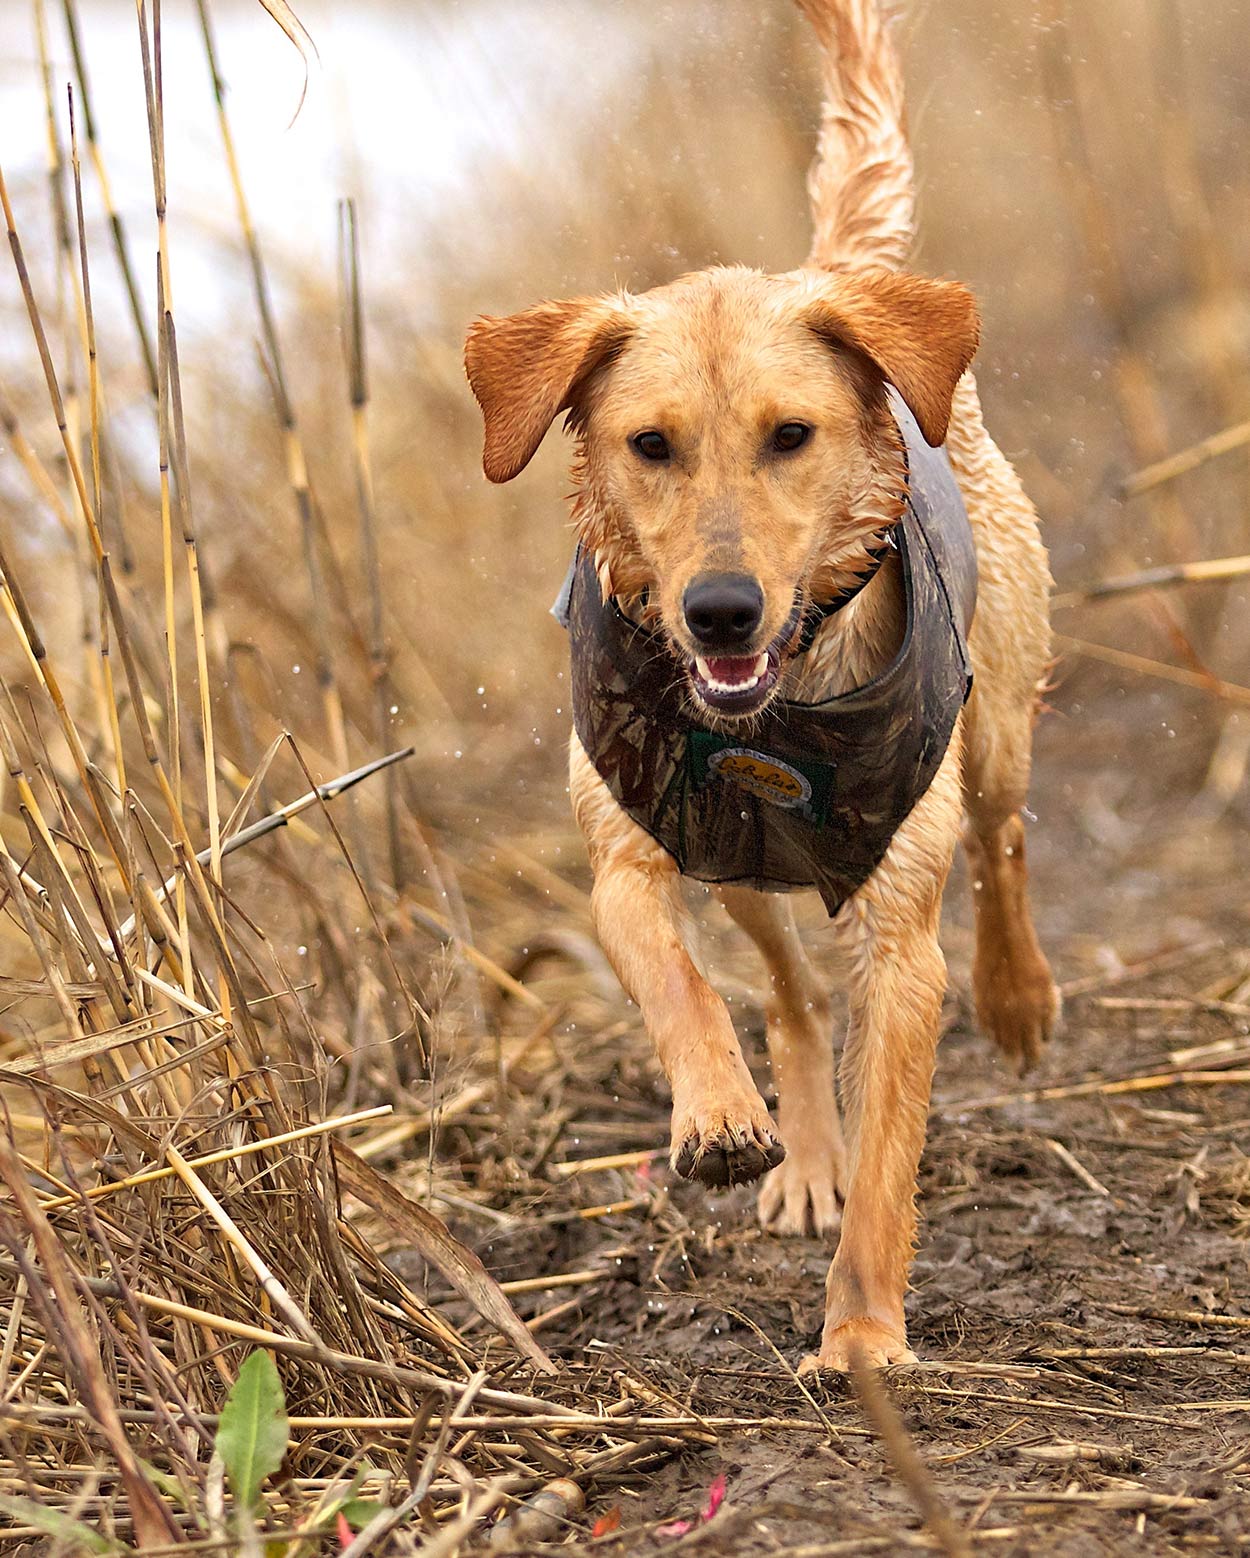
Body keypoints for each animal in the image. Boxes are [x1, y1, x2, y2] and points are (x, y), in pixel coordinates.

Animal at [464, 0, 1053, 1371]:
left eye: (790, 435)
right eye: (649, 444)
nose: (719, 609)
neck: (773, 718)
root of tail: (833, 273)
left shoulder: (900, 943)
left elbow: (892, 1153)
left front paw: (864, 1332)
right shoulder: (626, 853)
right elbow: (679, 983)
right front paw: (723, 1117)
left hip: (996, 720)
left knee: (1002, 838)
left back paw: (1016, 995)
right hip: (736, 869)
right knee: (785, 989)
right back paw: (795, 1150)